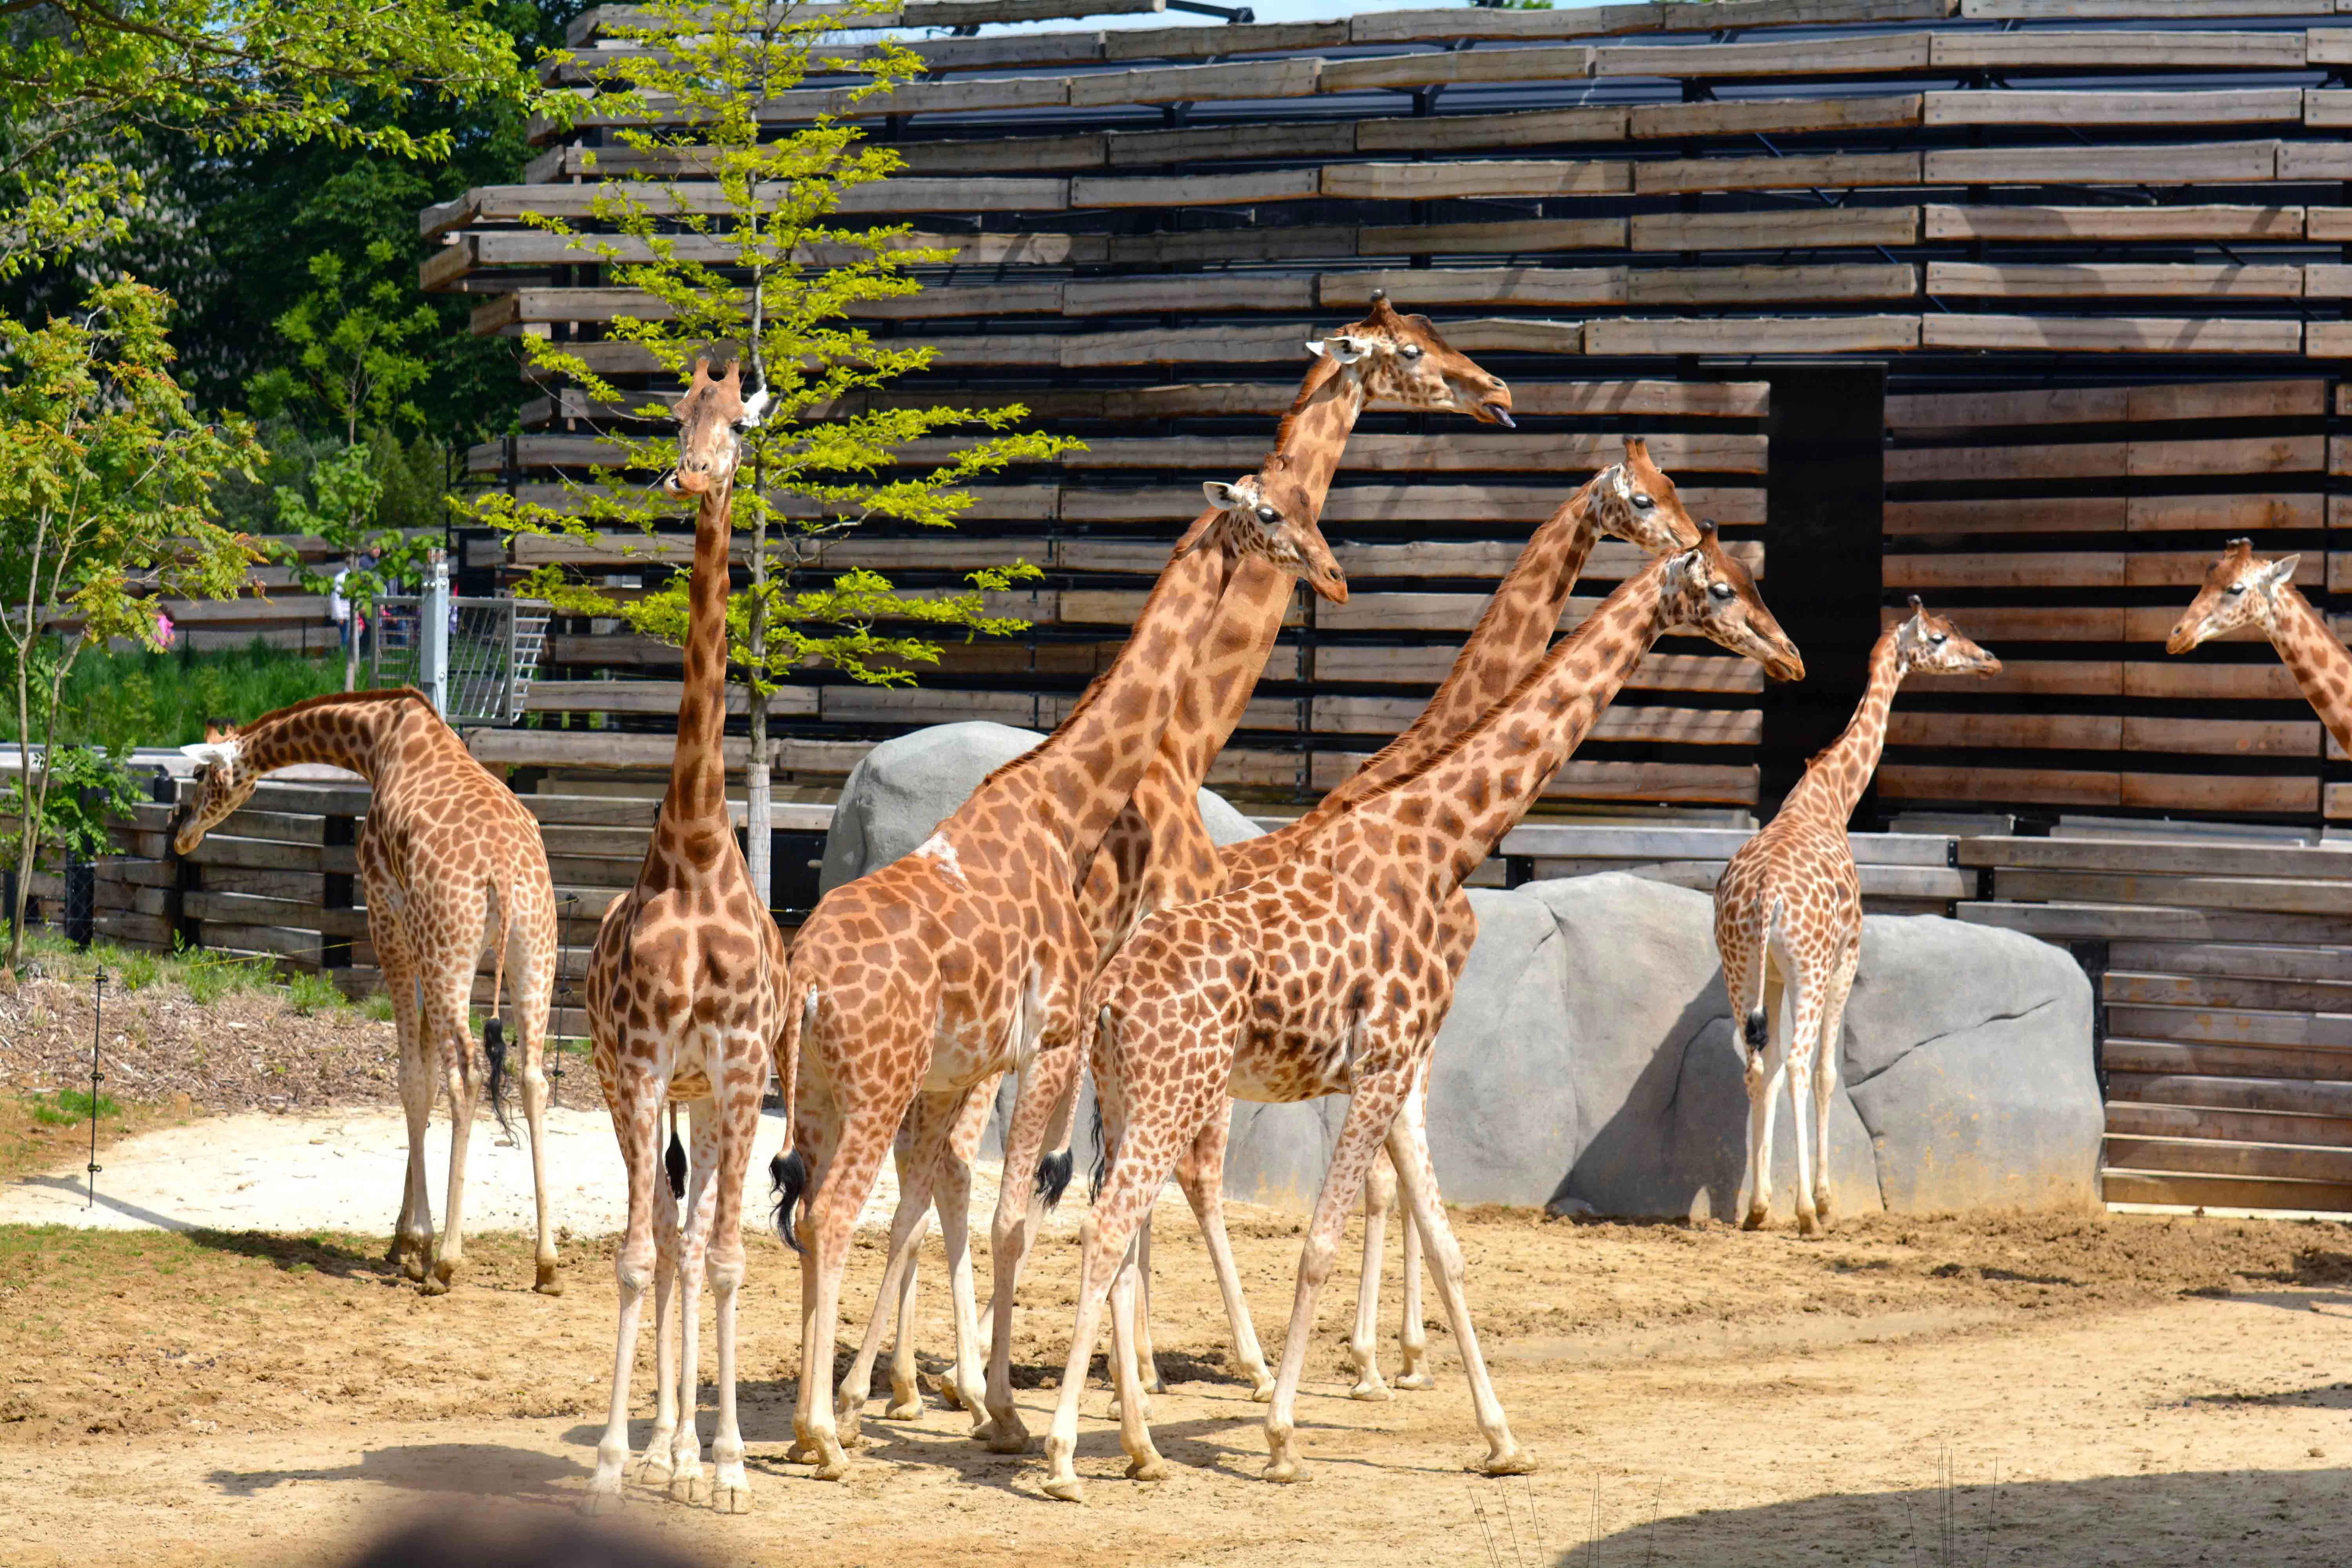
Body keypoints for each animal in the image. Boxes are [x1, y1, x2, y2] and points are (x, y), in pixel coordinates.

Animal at [175, 690, 561, 1296]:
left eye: (198, 774)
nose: (182, 836)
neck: (377, 740)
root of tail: (502, 873)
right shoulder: (415, 938)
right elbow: (424, 1075)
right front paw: (404, 1240)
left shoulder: (387, 916)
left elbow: (412, 1077)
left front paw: (417, 1243)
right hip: (533, 953)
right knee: (532, 1078)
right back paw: (547, 1264)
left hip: (450, 951)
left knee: (468, 1074)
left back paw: (447, 1263)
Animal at [771, 430, 1369, 1484]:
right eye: (1270, 514)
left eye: (1310, 507)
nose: (1335, 577)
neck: (1065, 804)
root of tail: (804, 978)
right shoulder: (1050, 1040)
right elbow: (1017, 1215)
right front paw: (1007, 1414)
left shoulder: (998, 1059)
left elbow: (981, 1206)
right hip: (880, 1082)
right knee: (836, 1211)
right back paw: (825, 1436)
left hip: (822, 1090)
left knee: (808, 1213)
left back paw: (814, 1423)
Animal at [1041, 526, 1804, 1499]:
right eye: (1720, 589)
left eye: (1752, 580)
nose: (1789, 656)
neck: (1441, 842)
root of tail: (1108, 994)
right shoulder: (1381, 1063)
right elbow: (1320, 1243)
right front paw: (1283, 1435)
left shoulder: (1400, 1072)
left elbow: (1447, 1246)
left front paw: (1502, 1438)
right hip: (1176, 1086)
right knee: (1108, 1224)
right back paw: (1066, 1453)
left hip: (1132, 1089)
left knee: (1118, 1225)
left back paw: (1139, 1444)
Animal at [1714, 598, 1999, 1239]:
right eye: (1939, 638)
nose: (1991, 660)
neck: (1829, 799)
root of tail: (1765, 896)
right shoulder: (1848, 956)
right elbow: (1826, 1073)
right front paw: (1823, 1200)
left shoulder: (1772, 974)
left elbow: (1767, 1071)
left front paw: (1761, 1202)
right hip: (1812, 968)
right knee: (1799, 1064)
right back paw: (1805, 1213)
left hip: (1738, 966)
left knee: (1756, 1065)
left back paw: (1759, 1209)